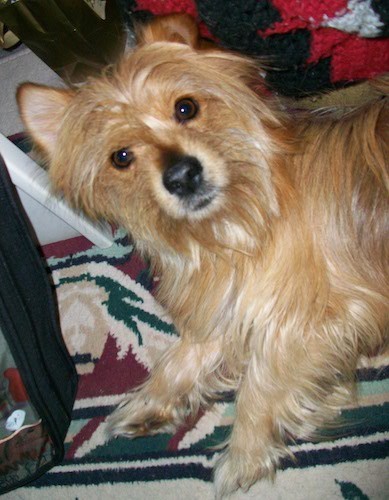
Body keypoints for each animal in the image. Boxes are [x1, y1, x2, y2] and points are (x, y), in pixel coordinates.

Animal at [17, 13, 384, 498]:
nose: (182, 175)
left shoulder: (313, 320)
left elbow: (261, 382)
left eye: (186, 108)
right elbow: (183, 356)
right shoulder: (231, 303)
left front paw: (245, 451)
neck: (236, 226)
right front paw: (150, 403)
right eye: (121, 157)